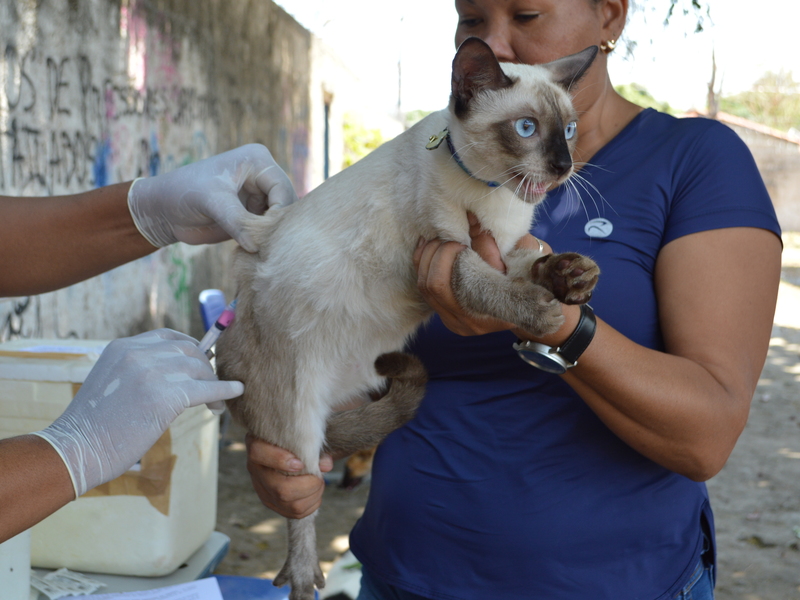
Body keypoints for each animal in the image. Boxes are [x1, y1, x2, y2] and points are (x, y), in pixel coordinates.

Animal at [216, 37, 596, 600]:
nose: (563, 166)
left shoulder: (504, 250)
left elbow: (533, 262)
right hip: (296, 416)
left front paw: (572, 276)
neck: (498, 196)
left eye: (568, 130)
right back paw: (304, 578)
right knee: (303, 501)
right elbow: (488, 286)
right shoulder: (449, 252)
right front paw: (541, 311)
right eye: (526, 128)